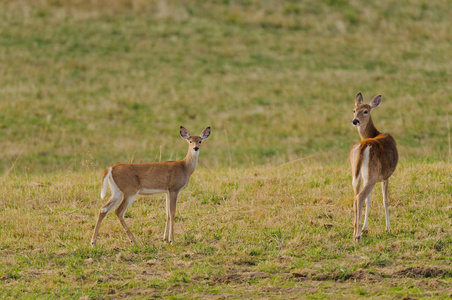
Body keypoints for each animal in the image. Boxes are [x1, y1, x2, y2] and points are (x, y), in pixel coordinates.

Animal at [352, 92, 398, 243]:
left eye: (365, 111)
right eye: (354, 110)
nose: (355, 121)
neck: (376, 133)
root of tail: (363, 145)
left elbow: (369, 200)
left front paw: (365, 228)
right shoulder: (385, 175)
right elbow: (385, 200)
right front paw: (388, 228)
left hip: (357, 176)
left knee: (356, 197)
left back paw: (355, 231)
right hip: (372, 175)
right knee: (360, 197)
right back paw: (357, 236)